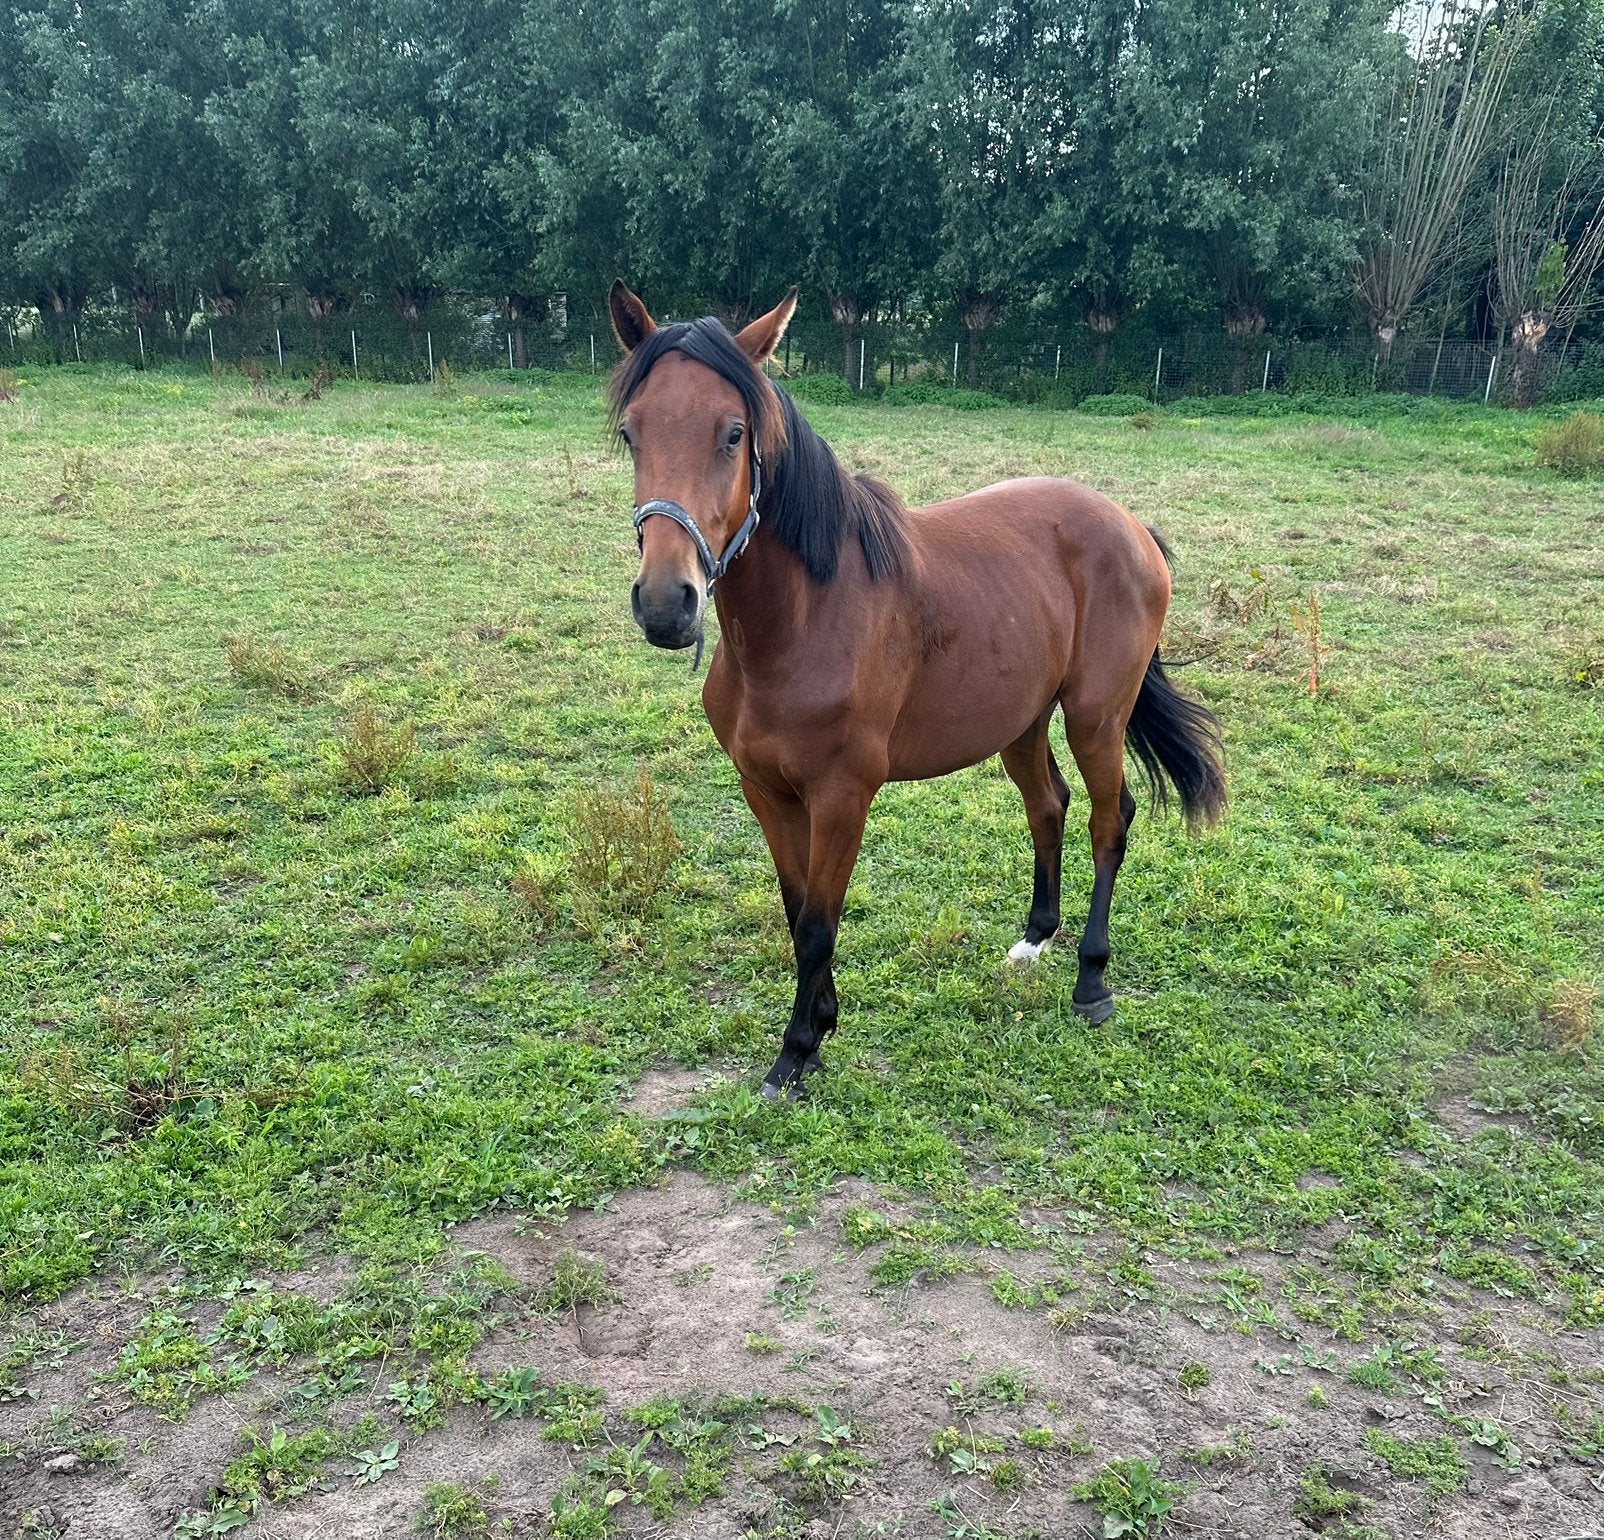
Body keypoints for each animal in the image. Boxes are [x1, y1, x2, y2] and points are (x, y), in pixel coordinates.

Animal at [607, 281, 1226, 1098]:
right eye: (631, 434)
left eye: (734, 433)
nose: (665, 604)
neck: (804, 620)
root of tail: (1130, 526)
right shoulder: (764, 790)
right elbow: (797, 910)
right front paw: (822, 1023)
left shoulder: (842, 796)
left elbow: (818, 923)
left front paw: (796, 1052)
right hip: (1020, 722)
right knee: (1049, 806)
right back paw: (1032, 942)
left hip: (1097, 717)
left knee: (1107, 820)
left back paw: (1092, 983)